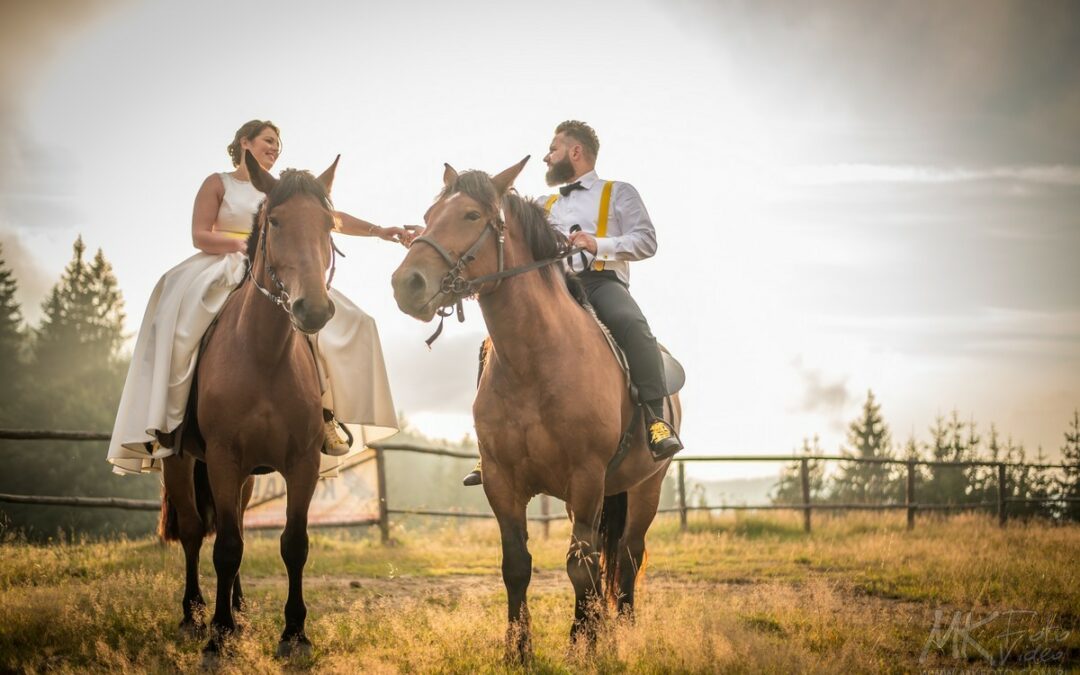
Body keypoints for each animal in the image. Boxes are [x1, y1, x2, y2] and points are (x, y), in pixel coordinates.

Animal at [157, 150, 336, 660]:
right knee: (196, 532)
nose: (313, 309)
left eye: (328, 225)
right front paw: (216, 635)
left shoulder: (302, 462)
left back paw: (236, 608)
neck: (264, 355)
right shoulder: (222, 457)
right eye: (275, 221)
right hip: (181, 462)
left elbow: (293, 544)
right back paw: (195, 613)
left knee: (228, 521)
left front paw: (294, 633)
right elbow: (226, 547)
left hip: (246, 477)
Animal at [390, 157, 682, 656]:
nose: (406, 284)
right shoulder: (503, 481)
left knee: (627, 555)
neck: (535, 359)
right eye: (427, 217)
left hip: (647, 487)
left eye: (471, 215)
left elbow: (580, 566)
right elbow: (517, 566)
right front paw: (519, 649)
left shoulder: (586, 477)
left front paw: (582, 645)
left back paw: (622, 627)